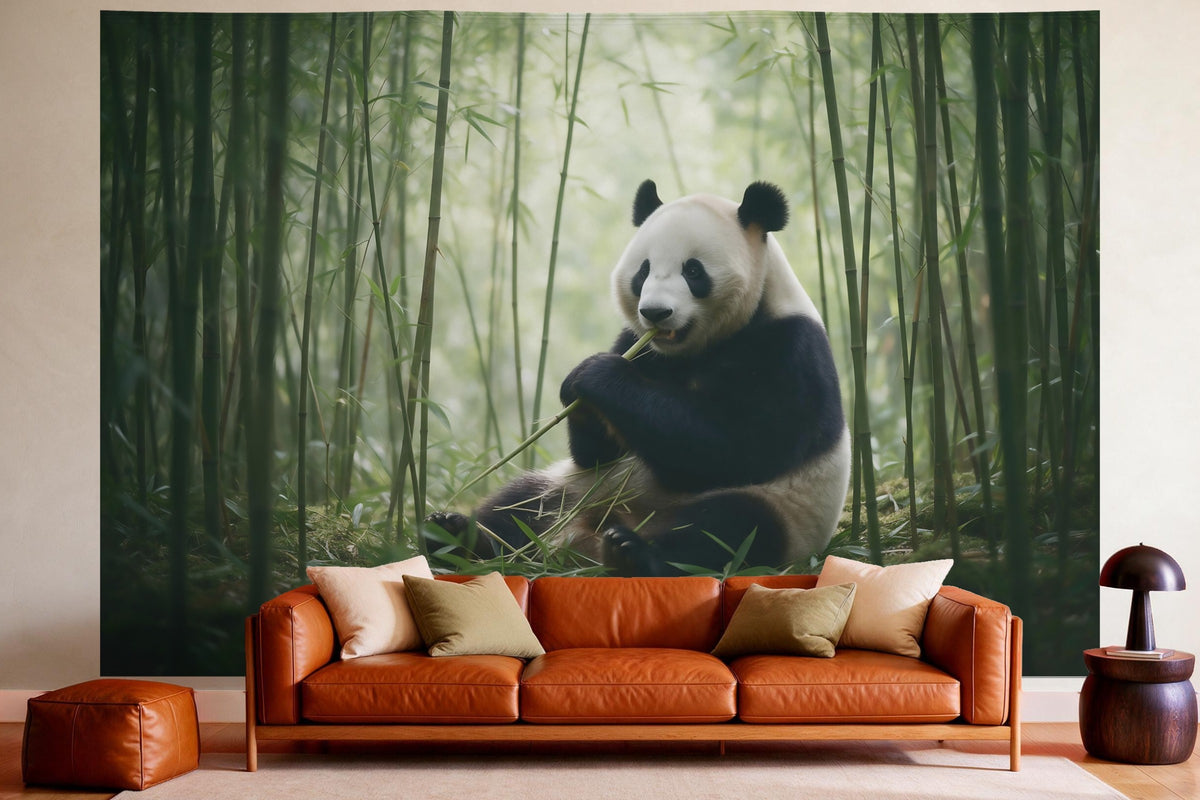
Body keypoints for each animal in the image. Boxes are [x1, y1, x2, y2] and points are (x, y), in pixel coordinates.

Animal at [431, 179, 851, 576]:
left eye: (693, 270)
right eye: (643, 270)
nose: (655, 312)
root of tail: (582, 544)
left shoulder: (789, 352)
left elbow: (738, 448)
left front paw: (596, 375)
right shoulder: (636, 342)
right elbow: (595, 453)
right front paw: (578, 393)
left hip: (785, 513)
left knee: (730, 528)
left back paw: (631, 554)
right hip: (577, 488)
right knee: (520, 506)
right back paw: (456, 536)